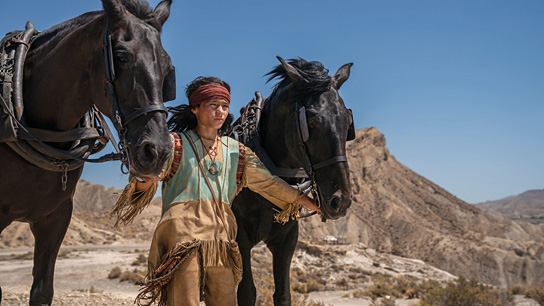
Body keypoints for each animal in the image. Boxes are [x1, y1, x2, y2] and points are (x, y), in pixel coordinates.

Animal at [233, 56, 352, 304]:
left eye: (348, 123)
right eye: (312, 124)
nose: (341, 201)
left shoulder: (287, 240)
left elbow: (283, 294)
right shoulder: (241, 237)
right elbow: (247, 292)